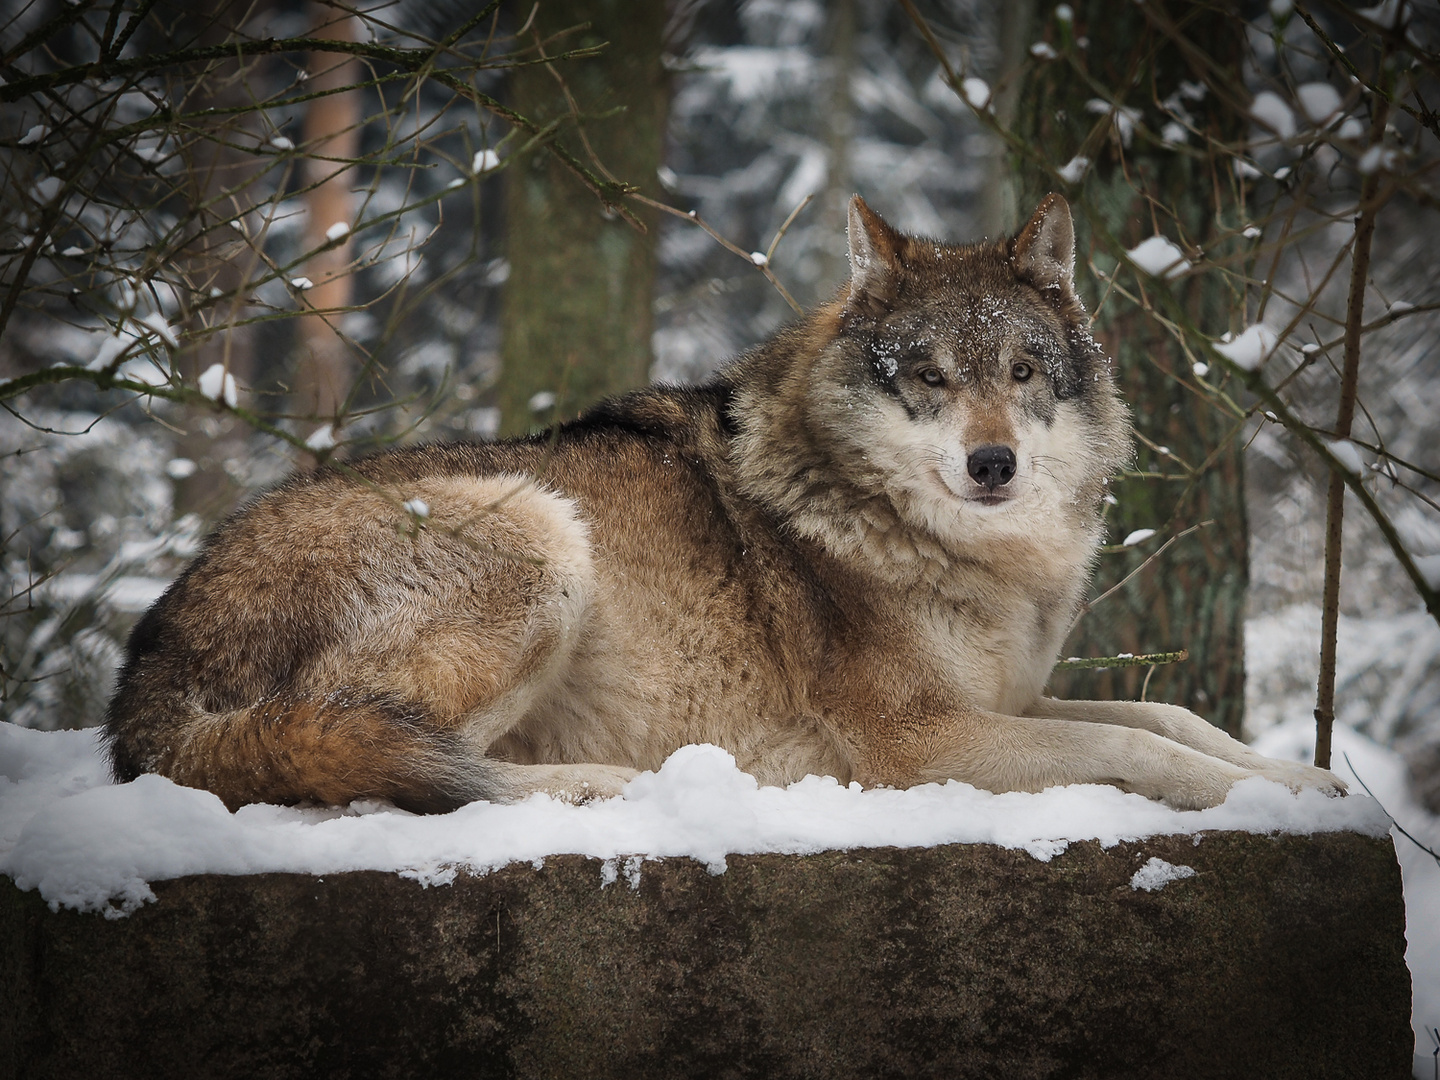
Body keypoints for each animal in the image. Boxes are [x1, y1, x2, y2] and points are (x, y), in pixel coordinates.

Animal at [101, 198, 1336, 817]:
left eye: (1023, 371)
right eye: (927, 377)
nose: (992, 465)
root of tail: (147, 665)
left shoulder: (1014, 698)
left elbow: (1172, 722)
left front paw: (1305, 778)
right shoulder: (921, 739)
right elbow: (1146, 749)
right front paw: (1262, 797)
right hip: (540, 533)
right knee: (387, 767)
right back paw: (600, 788)